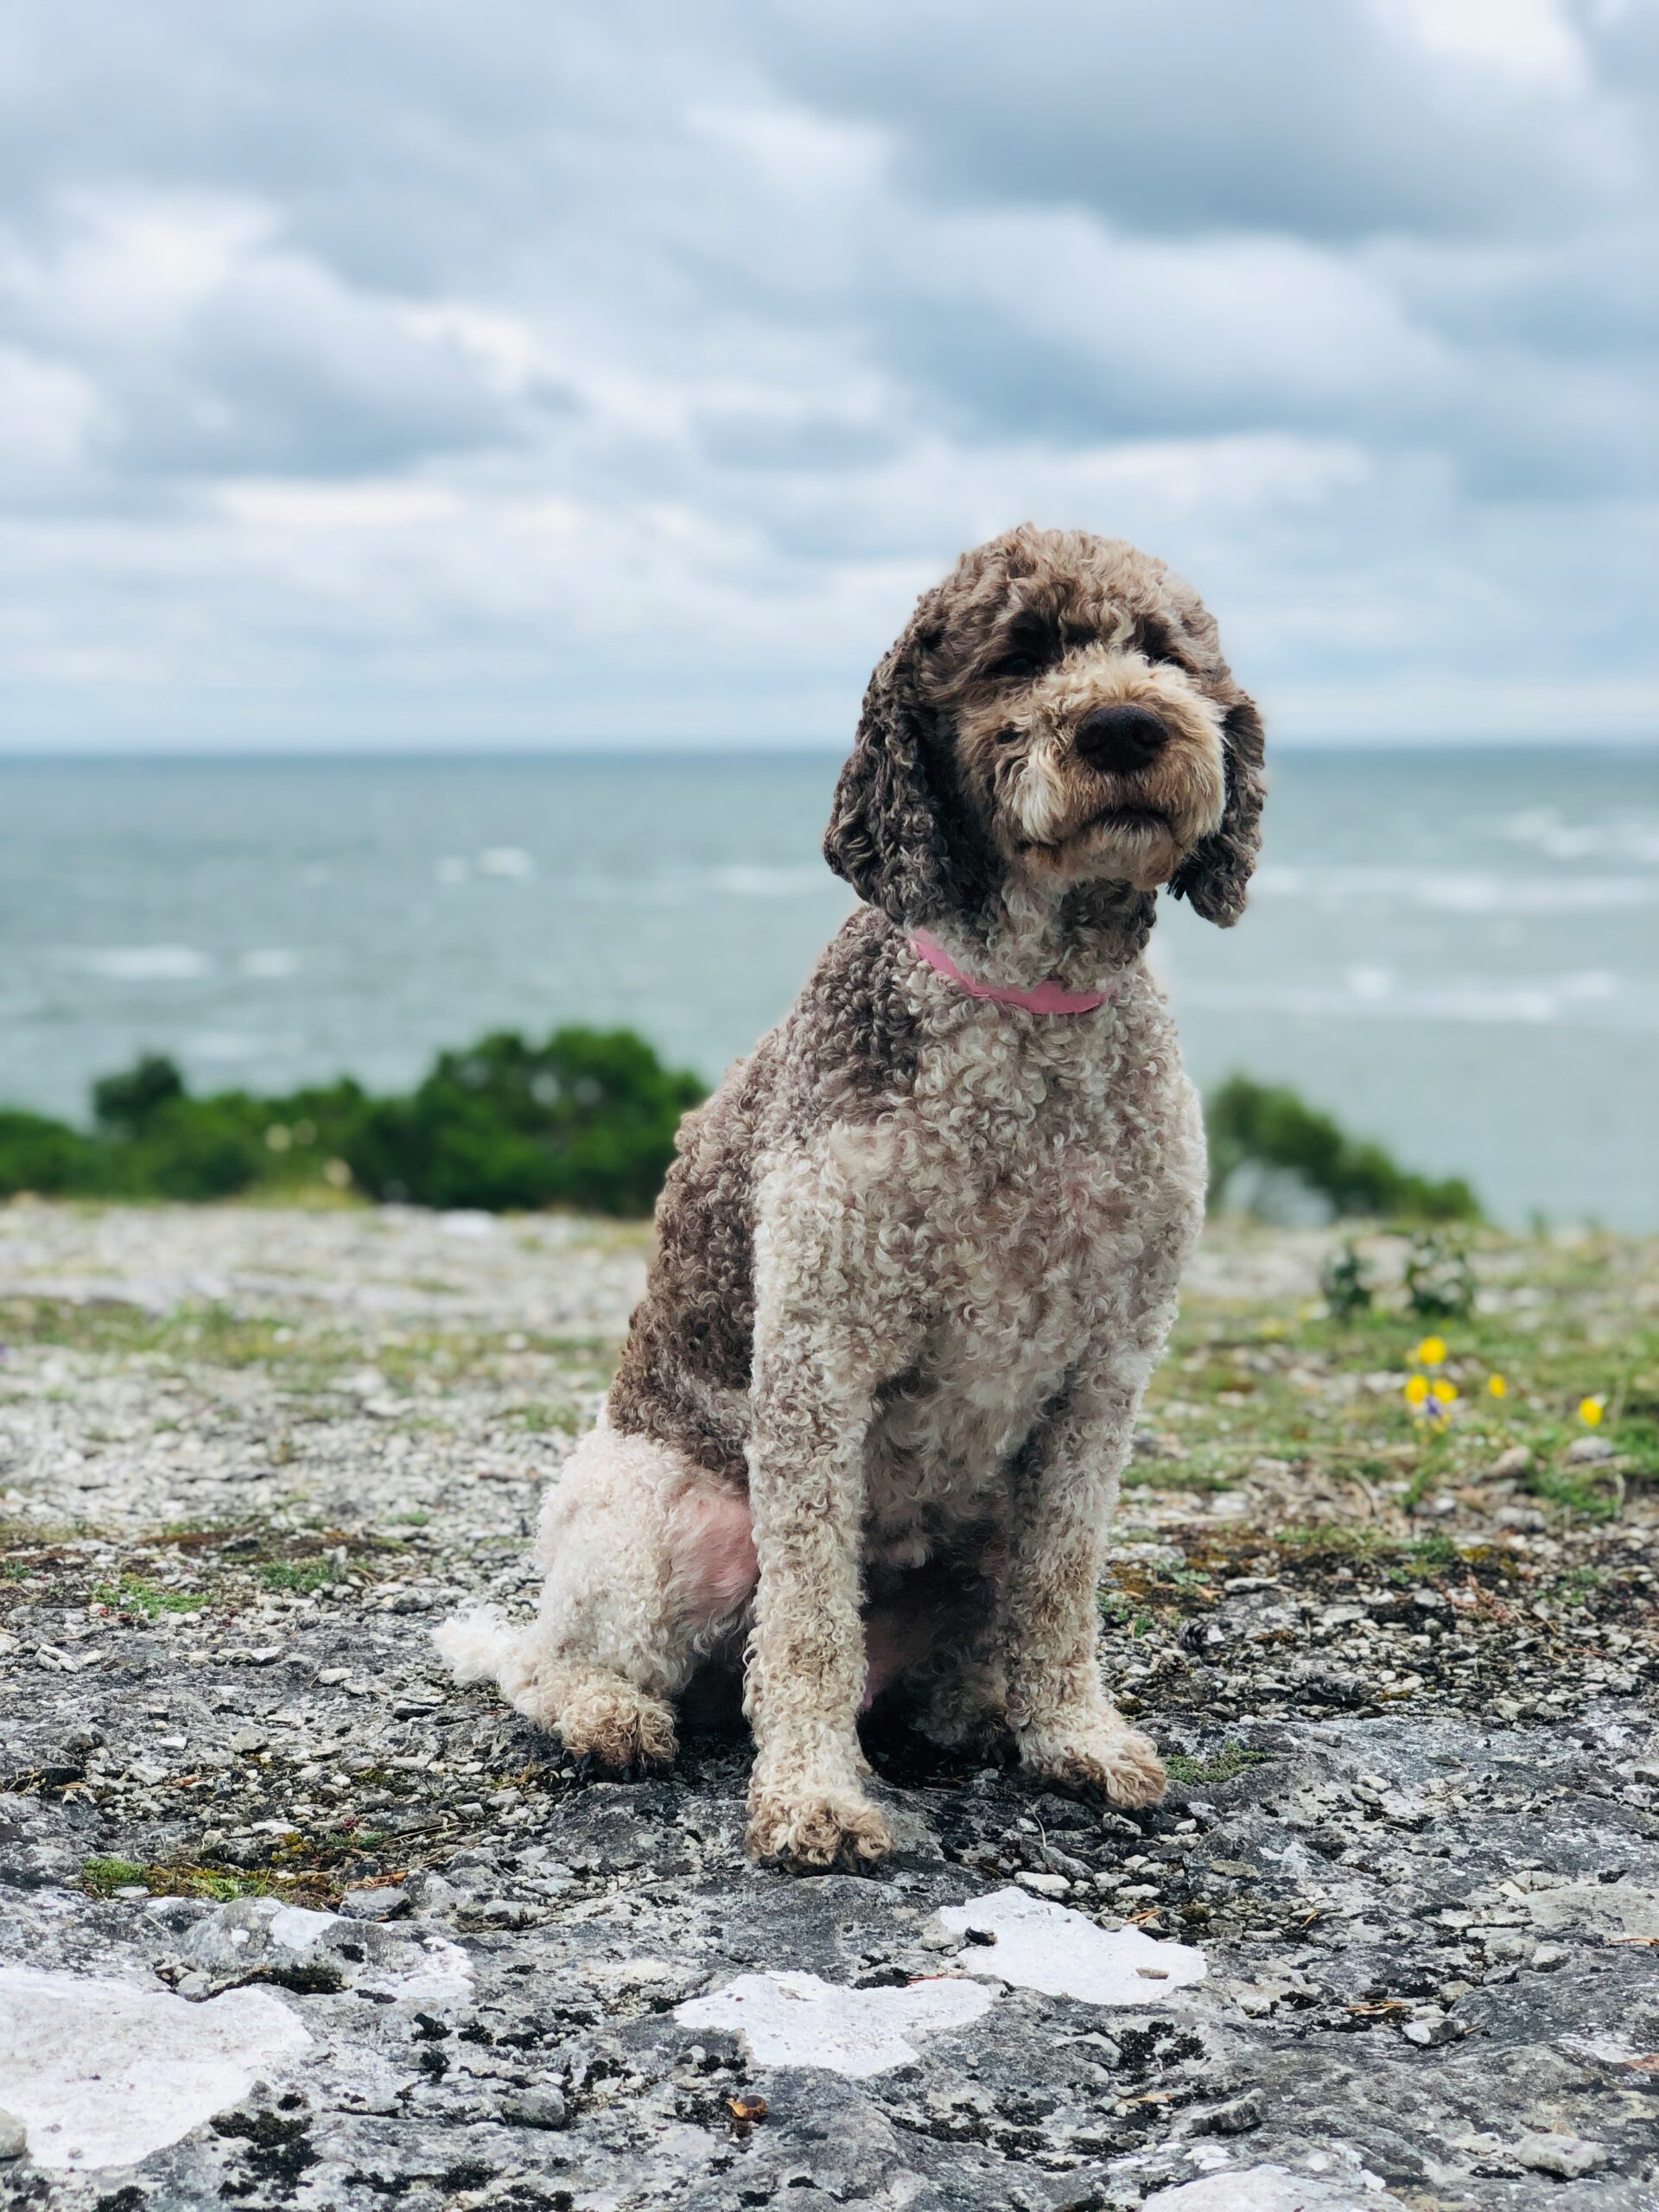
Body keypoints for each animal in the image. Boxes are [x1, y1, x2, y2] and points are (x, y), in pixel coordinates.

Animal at [435, 522, 1265, 1866]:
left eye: (1162, 651)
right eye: (1018, 654)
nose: (1128, 727)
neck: (1031, 1007)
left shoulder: (1105, 1372)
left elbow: (1061, 1583)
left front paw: (1073, 1735)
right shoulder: (821, 1353)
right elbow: (812, 1615)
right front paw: (816, 1795)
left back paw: (971, 1712)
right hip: (662, 1511)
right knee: (563, 1662)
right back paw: (611, 1715)